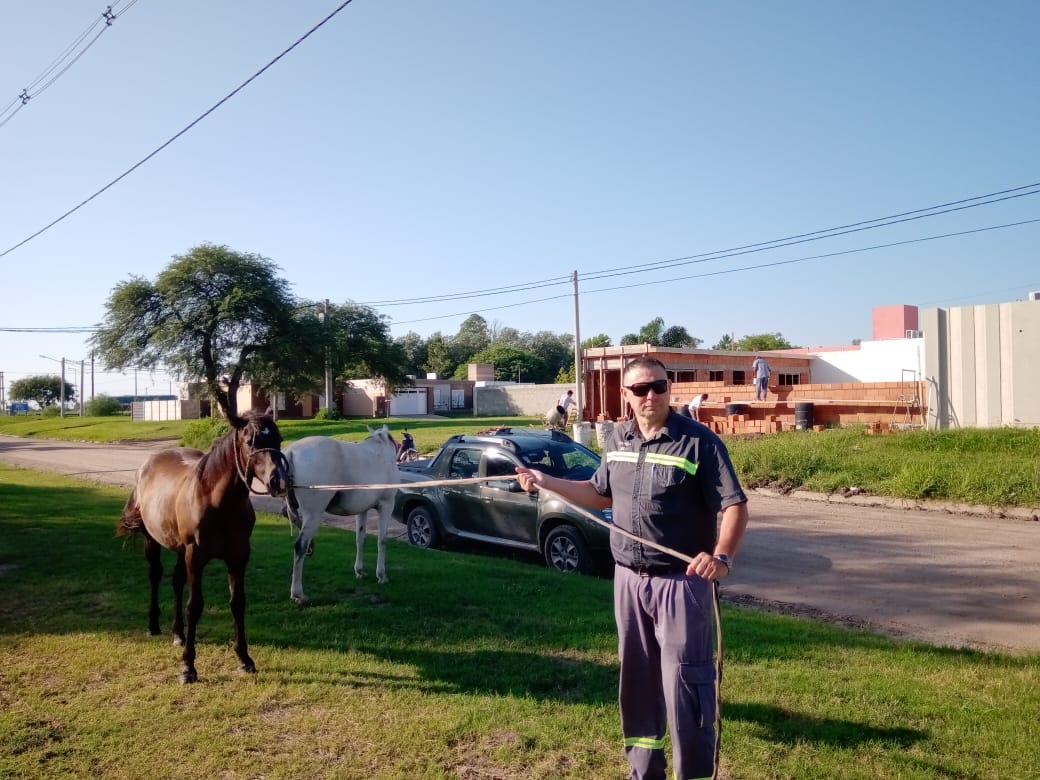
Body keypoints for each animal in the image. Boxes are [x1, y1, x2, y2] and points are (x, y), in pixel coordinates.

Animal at [117, 410, 290, 684]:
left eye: (279, 438)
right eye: (250, 441)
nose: (279, 481)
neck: (219, 502)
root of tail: (147, 465)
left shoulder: (238, 557)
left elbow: (237, 602)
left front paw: (244, 658)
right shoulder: (195, 556)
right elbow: (194, 605)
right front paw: (188, 667)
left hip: (179, 549)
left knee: (177, 581)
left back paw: (178, 633)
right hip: (153, 541)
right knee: (155, 576)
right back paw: (153, 625)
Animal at [282, 425, 398, 604]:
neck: (381, 451)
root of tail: (292, 451)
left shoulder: (362, 510)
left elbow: (360, 539)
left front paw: (359, 570)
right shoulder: (386, 505)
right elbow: (382, 541)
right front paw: (381, 575)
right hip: (313, 515)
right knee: (300, 546)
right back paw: (298, 593)